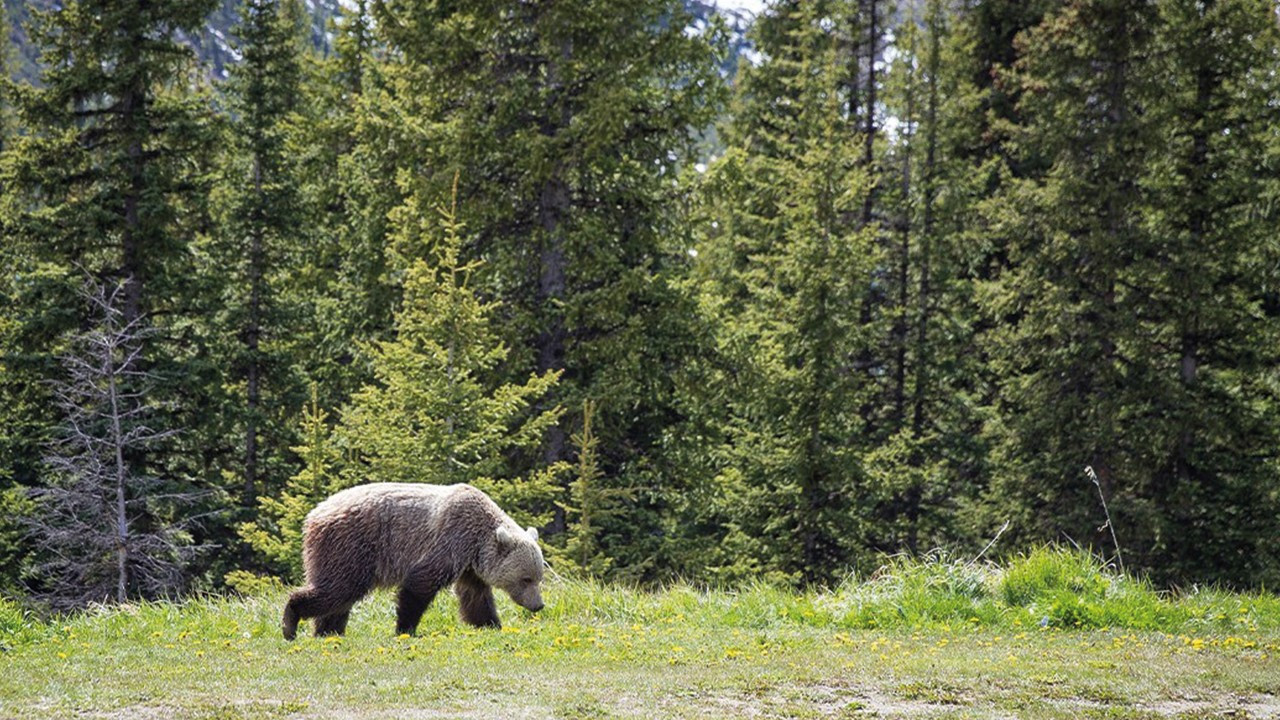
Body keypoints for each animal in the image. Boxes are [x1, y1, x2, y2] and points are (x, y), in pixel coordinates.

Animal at [282, 481, 542, 638]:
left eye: (539, 578)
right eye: (526, 579)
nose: (539, 605)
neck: (477, 540)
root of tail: (314, 514)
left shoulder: (469, 564)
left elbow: (475, 596)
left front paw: (490, 624)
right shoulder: (449, 539)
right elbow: (419, 584)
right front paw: (405, 628)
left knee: (339, 598)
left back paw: (328, 631)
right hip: (350, 547)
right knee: (338, 589)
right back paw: (291, 621)